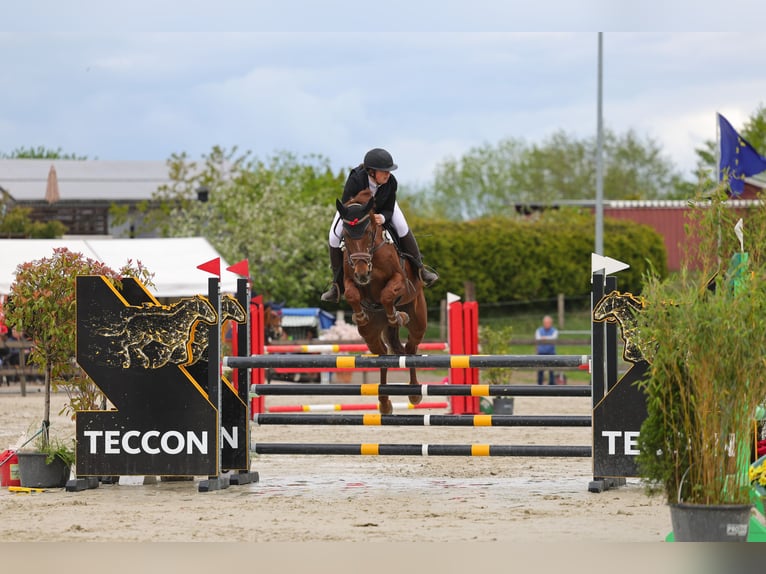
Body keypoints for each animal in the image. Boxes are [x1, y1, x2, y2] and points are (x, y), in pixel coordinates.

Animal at [336, 189, 428, 414]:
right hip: (370, 336)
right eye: (346, 236)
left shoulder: (400, 281)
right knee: (383, 355)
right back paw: (384, 402)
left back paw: (414, 393)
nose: (362, 273)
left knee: (410, 349)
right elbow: (352, 294)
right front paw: (361, 315)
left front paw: (397, 316)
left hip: (418, 320)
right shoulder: (349, 280)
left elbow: (387, 294)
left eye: (368, 232)